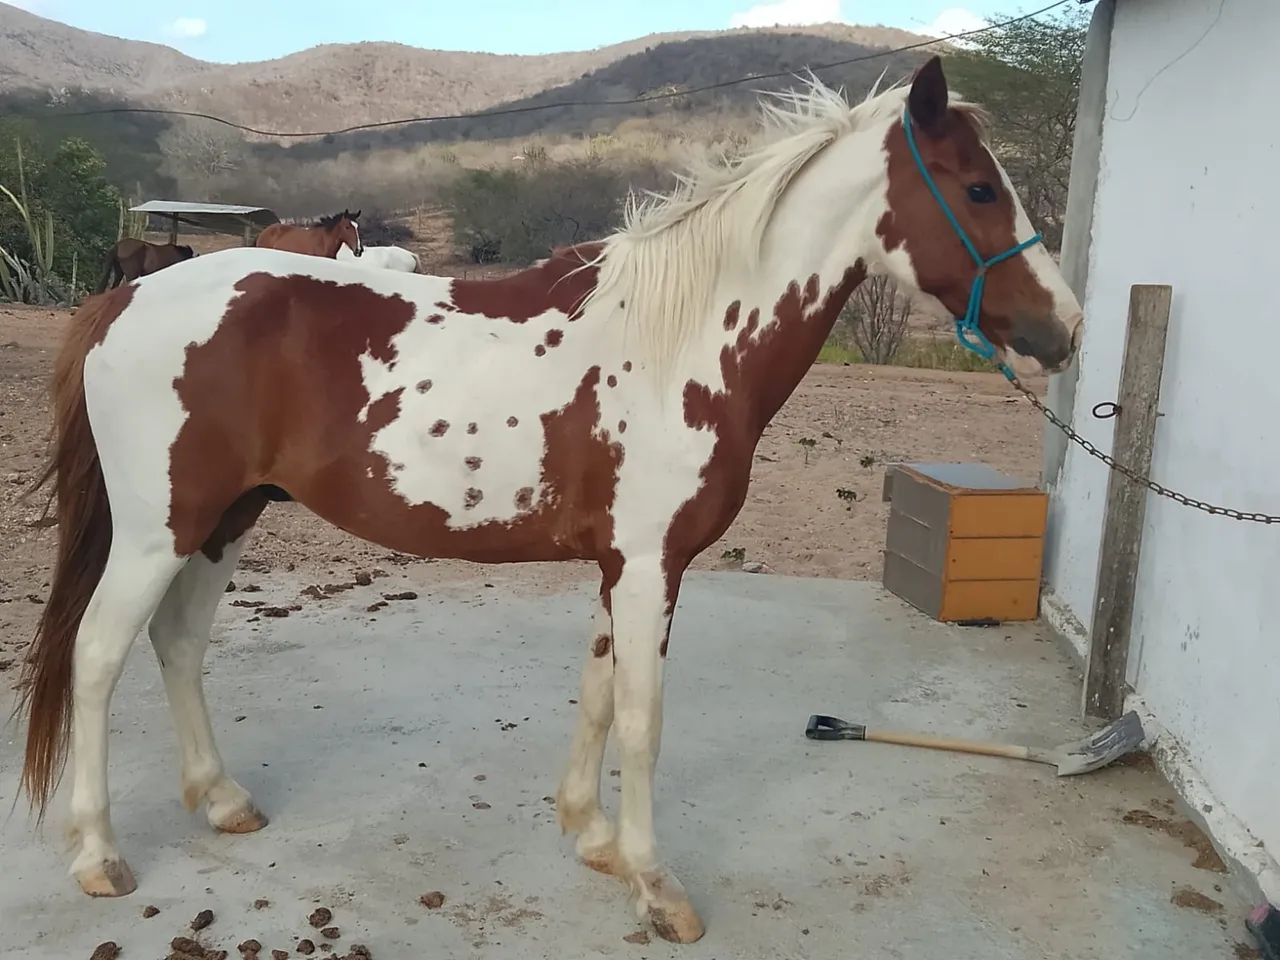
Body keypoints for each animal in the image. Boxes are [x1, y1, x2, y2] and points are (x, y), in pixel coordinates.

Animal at [14, 58, 1081, 943]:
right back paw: (99, 854)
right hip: (156, 532)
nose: (1064, 328)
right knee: (100, 654)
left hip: (224, 521)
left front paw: (594, 839)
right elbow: (644, 720)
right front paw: (656, 886)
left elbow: (600, 695)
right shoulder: (652, 567)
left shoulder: (624, 566)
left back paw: (223, 798)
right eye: (978, 188)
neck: (682, 341)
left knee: (179, 643)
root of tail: (125, 299)